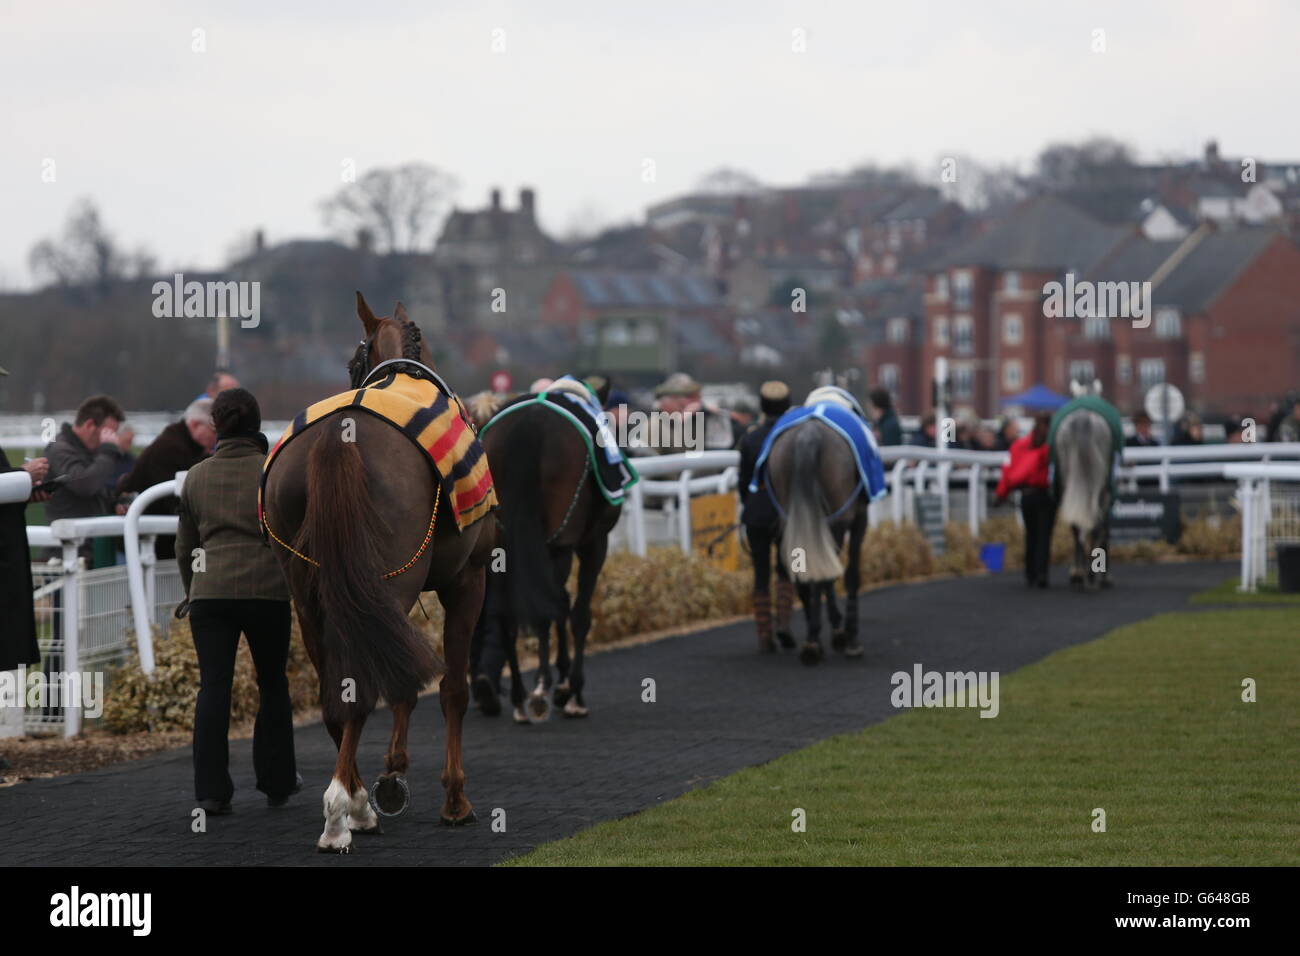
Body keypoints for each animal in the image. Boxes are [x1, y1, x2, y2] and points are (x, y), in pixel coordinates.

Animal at [261, 293, 493, 853]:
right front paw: (454, 799)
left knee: (338, 693)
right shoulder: (469, 579)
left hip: (309, 592)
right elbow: (451, 688)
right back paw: (343, 813)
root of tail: (338, 438)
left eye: (350, 361)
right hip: (390, 581)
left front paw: (387, 779)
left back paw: (351, 804)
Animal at [478, 385, 618, 723]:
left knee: (508, 614)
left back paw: (518, 697)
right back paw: (542, 690)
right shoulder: (594, 542)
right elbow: (576, 612)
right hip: (557, 544)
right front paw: (571, 691)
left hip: (503, 547)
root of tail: (530, 425)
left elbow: (559, 605)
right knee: (550, 608)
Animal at [764, 390, 868, 665]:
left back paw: (813, 640)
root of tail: (808, 435)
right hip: (836, 518)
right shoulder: (858, 519)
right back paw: (820, 641)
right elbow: (850, 574)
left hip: (791, 516)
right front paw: (849, 637)